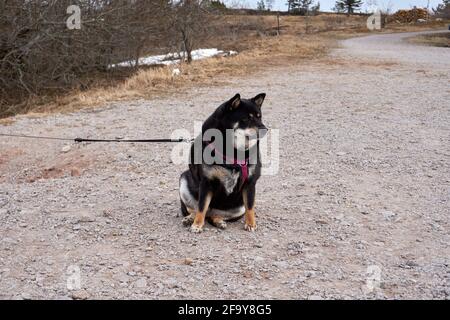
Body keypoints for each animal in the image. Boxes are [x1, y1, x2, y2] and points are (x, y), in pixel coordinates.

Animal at [179, 92, 268, 232]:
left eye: (259, 117)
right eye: (246, 119)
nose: (265, 129)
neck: (233, 150)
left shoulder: (250, 183)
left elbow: (250, 207)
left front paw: (251, 224)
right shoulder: (206, 182)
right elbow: (201, 206)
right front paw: (197, 225)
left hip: (238, 207)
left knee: (214, 215)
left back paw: (219, 221)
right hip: (184, 182)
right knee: (196, 210)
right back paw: (190, 219)